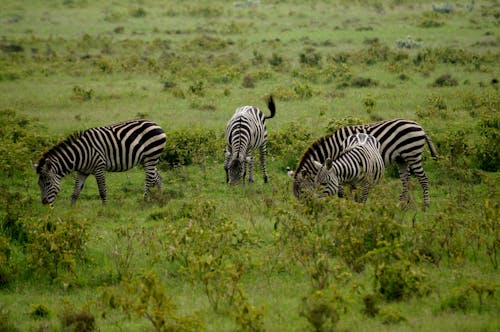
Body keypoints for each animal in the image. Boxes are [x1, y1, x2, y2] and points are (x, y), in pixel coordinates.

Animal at [36, 118, 168, 206]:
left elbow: (102, 191)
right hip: (146, 159)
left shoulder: (99, 168)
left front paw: (105, 209)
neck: (80, 154)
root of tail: (155, 124)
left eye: (47, 183)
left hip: (151, 156)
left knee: (149, 179)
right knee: (158, 178)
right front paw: (71, 210)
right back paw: (159, 199)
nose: (44, 203)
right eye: (39, 184)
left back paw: (144, 201)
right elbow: (75, 192)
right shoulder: (82, 171)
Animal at [292, 118, 438, 206]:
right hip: (401, 158)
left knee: (423, 179)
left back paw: (426, 204)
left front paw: (344, 200)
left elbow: (341, 189)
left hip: (412, 154)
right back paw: (400, 203)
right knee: (405, 179)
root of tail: (419, 126)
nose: (307, 210)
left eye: (302, 192)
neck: (334, 148)